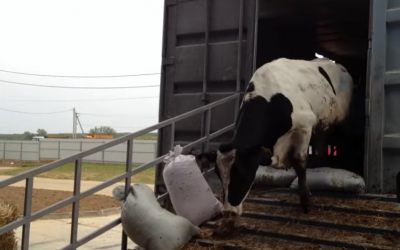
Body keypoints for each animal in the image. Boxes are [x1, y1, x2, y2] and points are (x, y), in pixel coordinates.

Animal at [217, 58, 352, 215]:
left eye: (241, 173)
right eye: (218, 175)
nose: (228, 211)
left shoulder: (305, 126)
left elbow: (299, 162)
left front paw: (306, 202)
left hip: (341, 120)